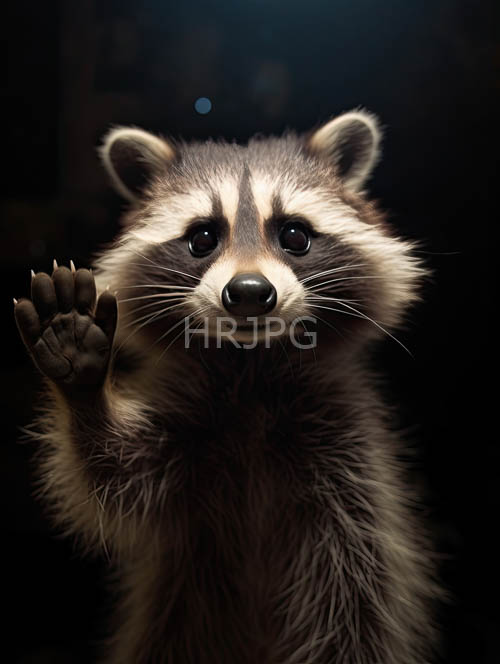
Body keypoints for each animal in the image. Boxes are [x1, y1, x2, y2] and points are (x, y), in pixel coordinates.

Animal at [14, 110, 440, 663]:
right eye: (202, 238)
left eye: (295, 234)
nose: (250, 293)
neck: (251, 368)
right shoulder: (185, 437)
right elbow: (114, 473)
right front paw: (83, 383)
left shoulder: (346, 453)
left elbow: (356, 580)